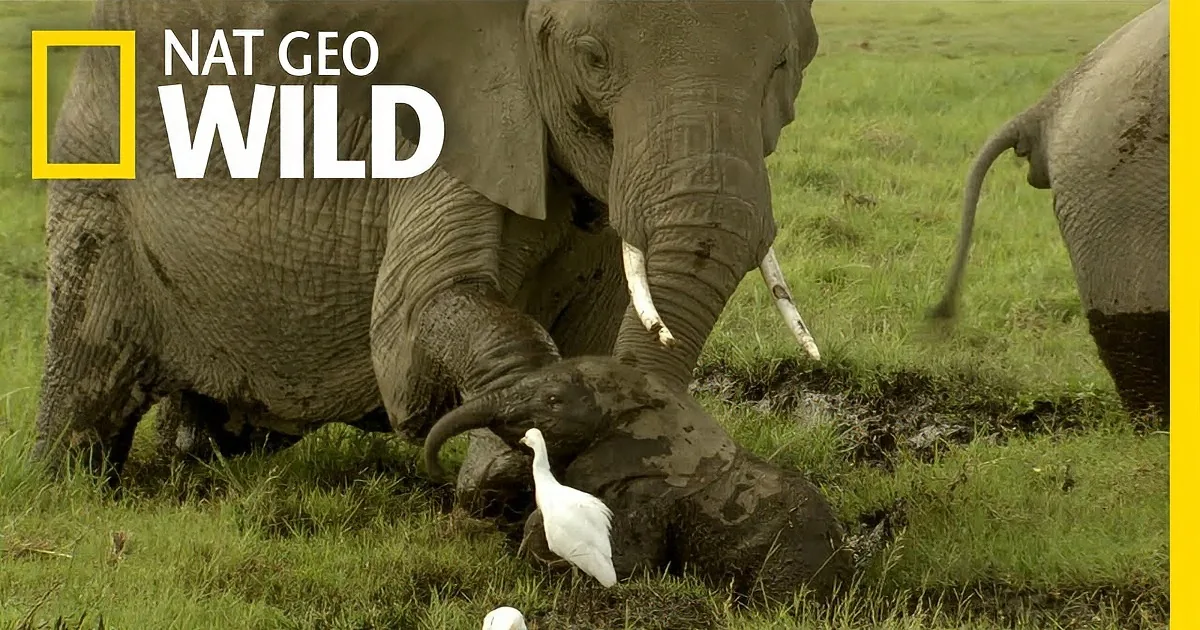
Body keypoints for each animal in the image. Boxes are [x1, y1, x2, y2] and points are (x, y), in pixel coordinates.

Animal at [34, 0, 825, 508]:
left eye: (787, 62)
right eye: (592, 59)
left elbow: (596, 328)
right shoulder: (445, 110)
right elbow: (414, 327)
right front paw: (515, 459)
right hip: (96, 177)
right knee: (87, 386)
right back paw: (66, 491)